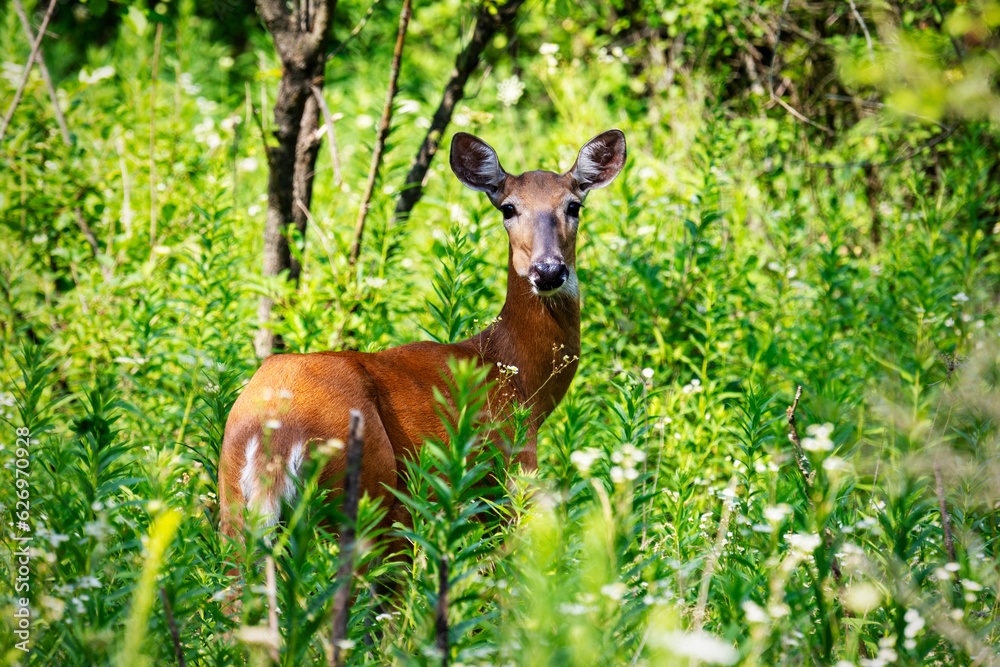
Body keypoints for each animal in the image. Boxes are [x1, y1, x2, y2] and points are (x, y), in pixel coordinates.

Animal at [218, 129, 626, 550]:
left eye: (574, 206)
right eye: (508, 208)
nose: (547, 271)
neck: (514, 372)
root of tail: (275, 433)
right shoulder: (511, 476)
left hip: (234, 508)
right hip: (373, 497)